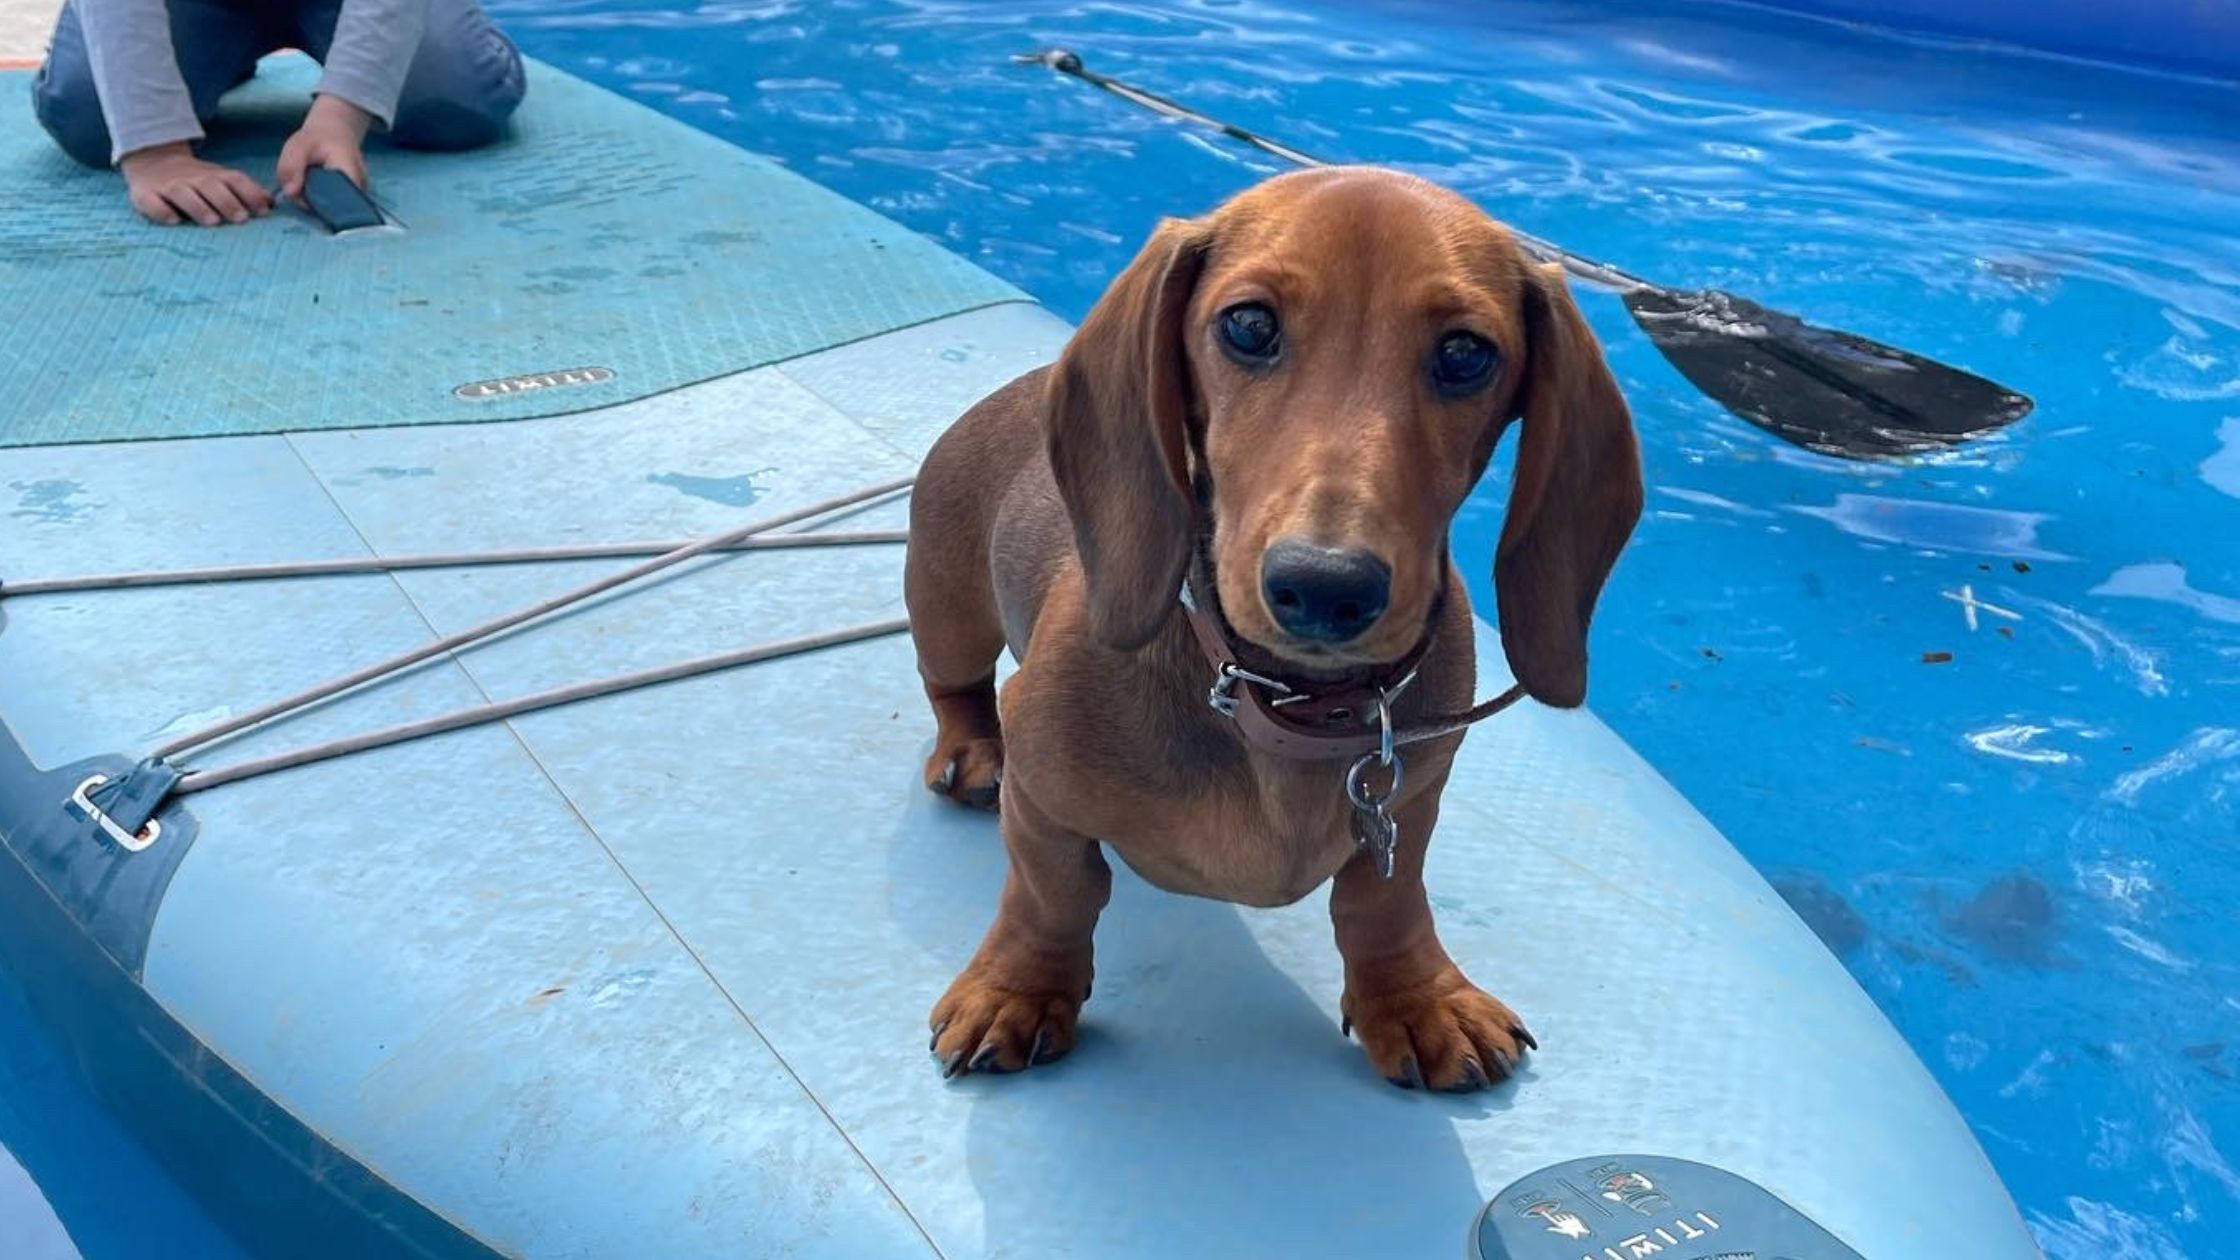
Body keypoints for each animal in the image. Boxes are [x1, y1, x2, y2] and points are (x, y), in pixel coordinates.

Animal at [896, 164, 1648, 1089]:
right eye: (1249, 325)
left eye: (1467, 353)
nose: (1325, 589)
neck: (1280, 701)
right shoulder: (1041, 794)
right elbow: (1053, 893)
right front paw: (1019, 989)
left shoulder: (1413, 802)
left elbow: (1383, 900)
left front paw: (1417, 998)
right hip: (947, 604)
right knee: (953, 684)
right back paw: (971, 751)